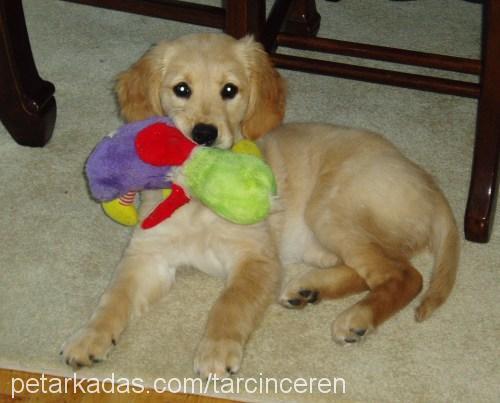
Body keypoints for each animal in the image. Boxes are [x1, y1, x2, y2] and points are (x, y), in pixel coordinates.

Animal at [60, 33, 458, 378]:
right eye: (181, 89)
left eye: (230, 90)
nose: (204, 134)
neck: (197, 194)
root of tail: (428, 181)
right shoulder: (148, 256)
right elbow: (114, 297)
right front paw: (89, 337)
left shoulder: (257, 259)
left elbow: (230, 303)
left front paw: (217, 349)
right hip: (322, 240)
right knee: (377, 269)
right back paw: (308, 289)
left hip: (328, 209)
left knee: (405, 275)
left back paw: (357, 318)